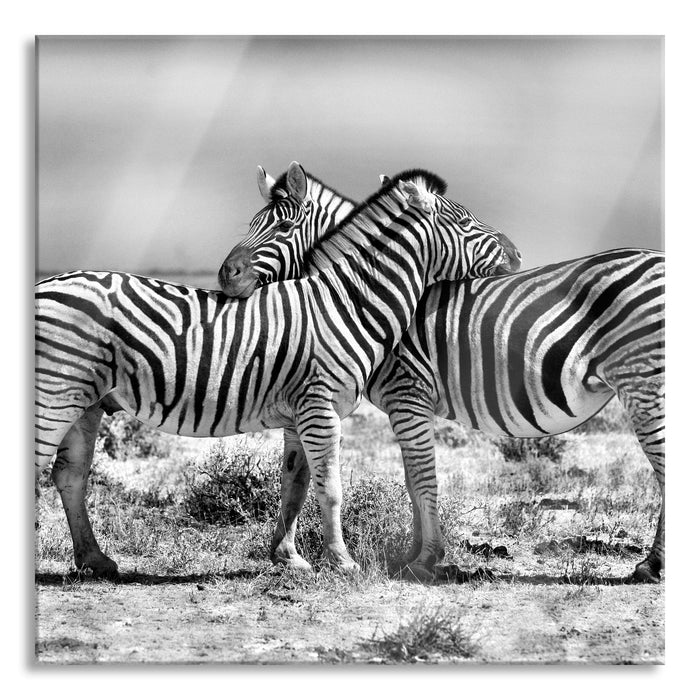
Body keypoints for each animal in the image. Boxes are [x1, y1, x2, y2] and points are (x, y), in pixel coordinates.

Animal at [35, 167, 512, 578]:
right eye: (466, 222)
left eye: (282, 228)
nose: (515, 251)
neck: (346, 303)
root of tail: (45, 283)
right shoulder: (320, 408)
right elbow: (330, 488)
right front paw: (343, 563)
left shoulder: (301, 414)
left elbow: (295, 484)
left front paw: (290, 558)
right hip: (55, 394)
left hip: (86, 402)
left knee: (69, 475)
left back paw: (95, 560)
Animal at [218, 165, 665, 584]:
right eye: (253, 224)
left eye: (282, 227)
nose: (226, 275)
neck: (358, 295)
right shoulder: (405, 404)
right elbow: (410, 480)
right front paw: (417, 554)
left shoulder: (407, 394)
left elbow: (421, 478)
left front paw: (426, 559)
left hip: (643, 382)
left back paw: (652, 566)